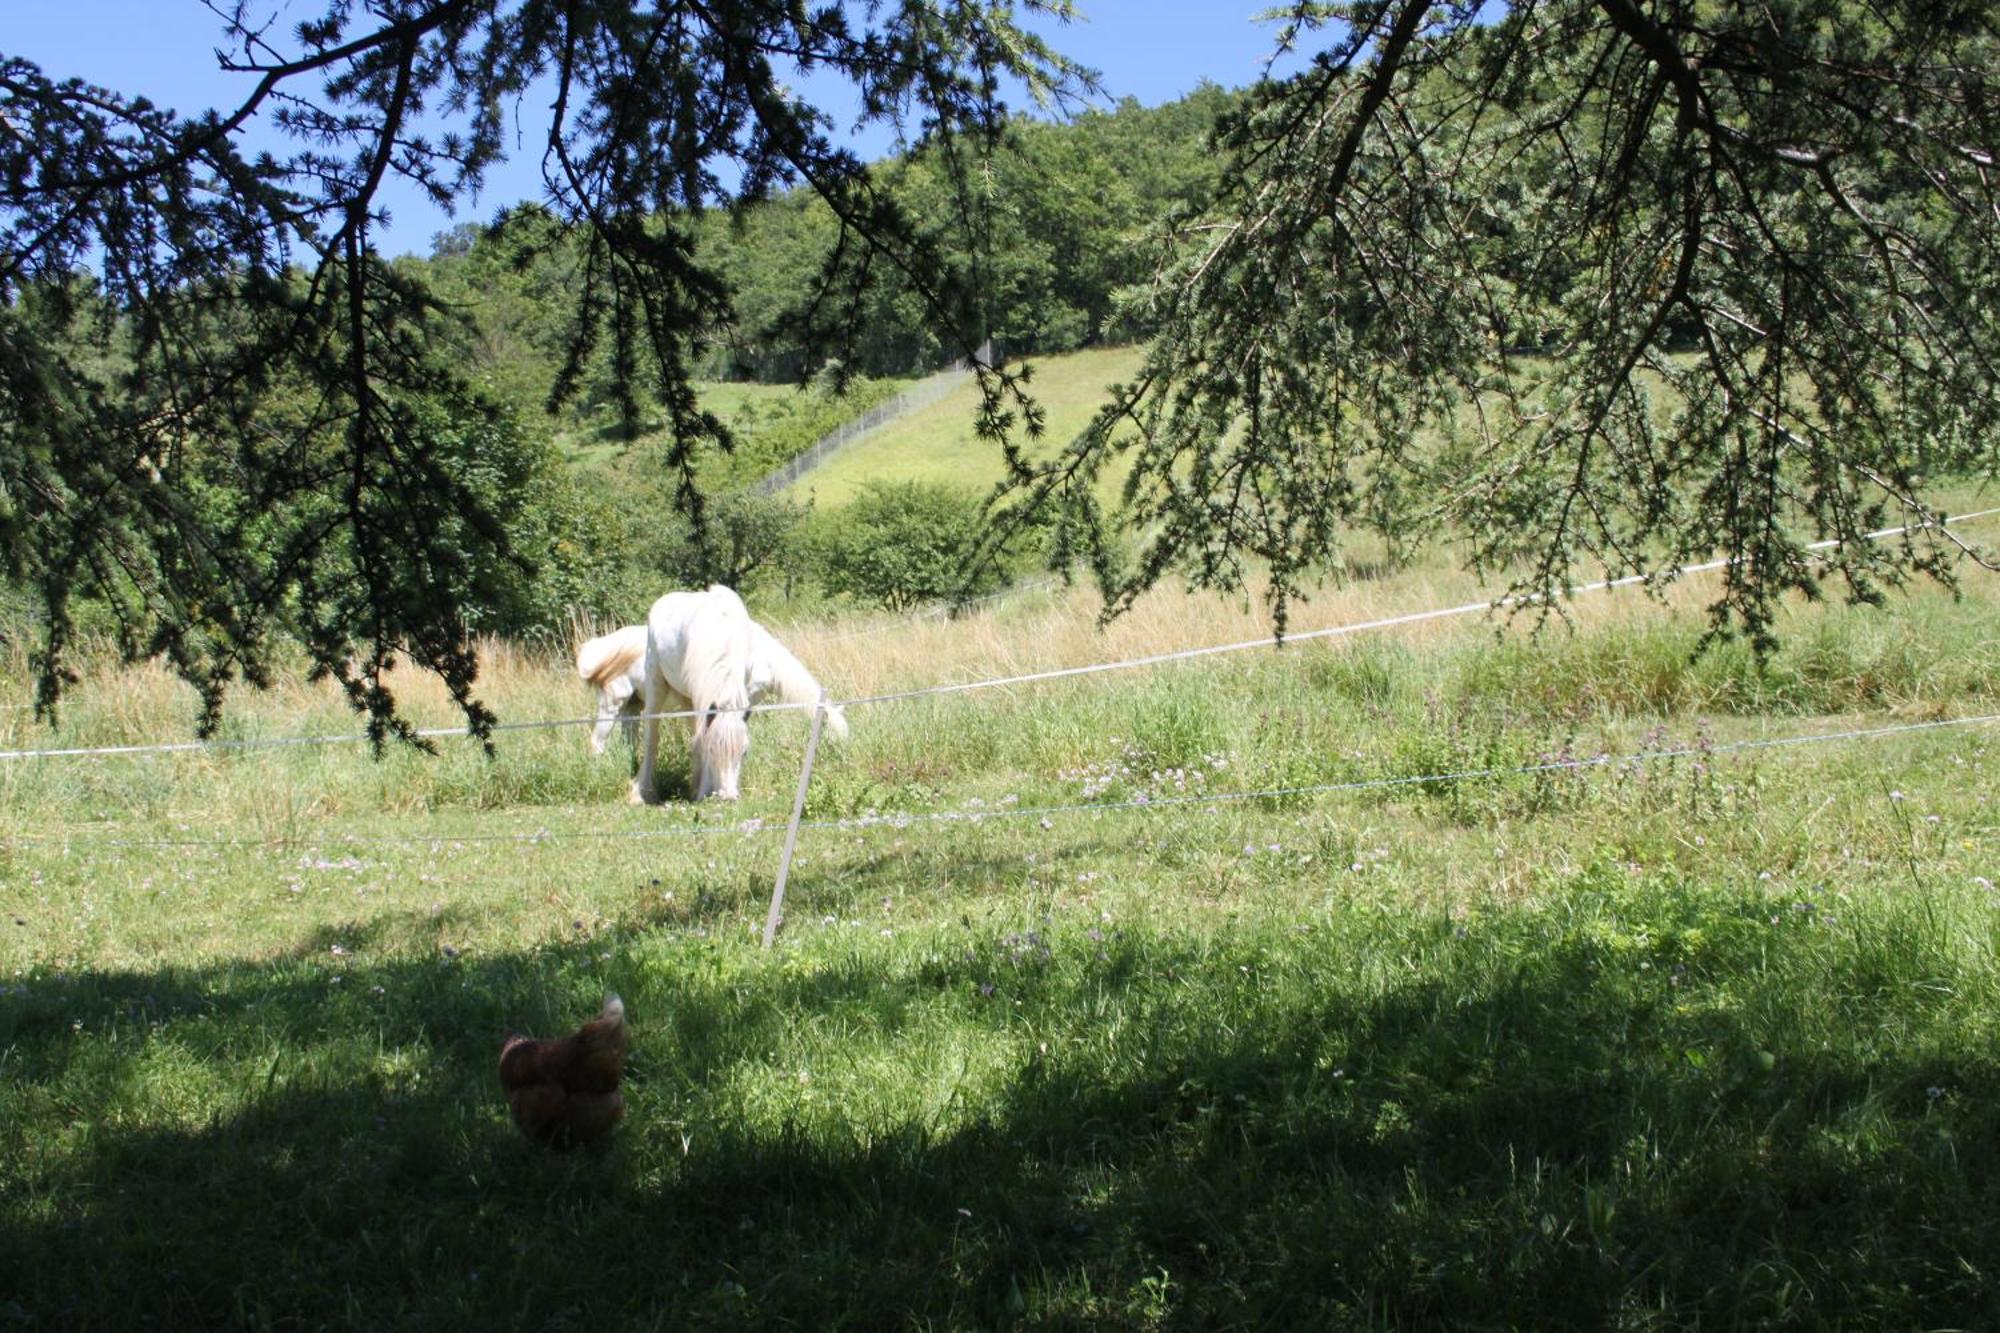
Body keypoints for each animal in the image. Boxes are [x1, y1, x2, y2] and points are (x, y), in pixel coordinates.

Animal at [580, 592, 852, 800]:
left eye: (744, 753)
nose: (728, 797)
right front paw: (704, 790)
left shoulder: (743, 695)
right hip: (636, 696)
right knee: (631, 739)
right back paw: (638, 790)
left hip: (640, 706)